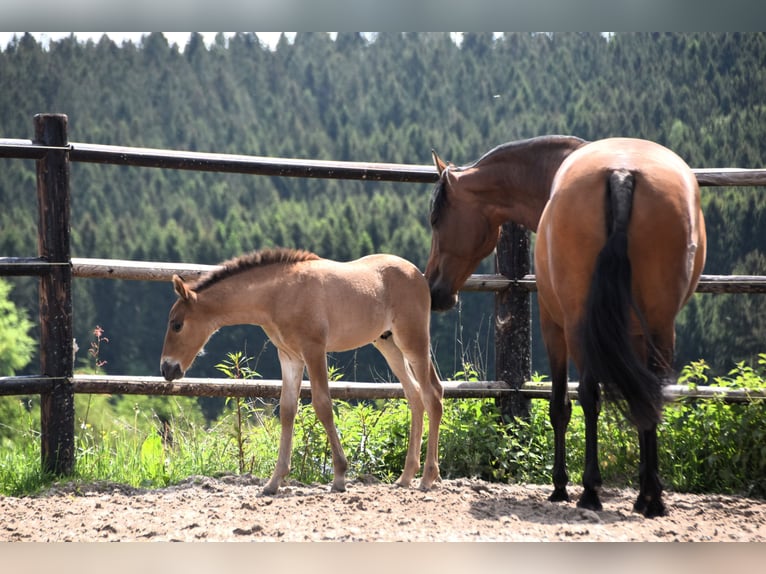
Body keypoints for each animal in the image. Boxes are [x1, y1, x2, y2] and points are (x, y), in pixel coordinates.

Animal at [162, 250, 444, 498]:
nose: (167, 369)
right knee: (415, 395)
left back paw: (428, 477)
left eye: (177, 325)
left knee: (432, 396)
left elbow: (323, 406)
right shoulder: (290, 357)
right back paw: (406, 476)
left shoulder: (313, 350)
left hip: (413, 341)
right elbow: (288, 410)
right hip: (388, 344)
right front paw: (274, 482)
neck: (279, 294)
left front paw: (339, 476)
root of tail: (418, 276)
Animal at [426, 137, 708, 520]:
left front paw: (560, 485)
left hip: (576, 326)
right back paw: (653, 499)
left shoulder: (552, 324)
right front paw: (642, 493)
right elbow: (640, 401)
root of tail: (621, 174)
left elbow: (560, 405)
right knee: (650, 395)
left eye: (436, 219)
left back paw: (589, 490)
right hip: (661, 326)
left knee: (588, 396)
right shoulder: (636, 335)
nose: (433, 289)